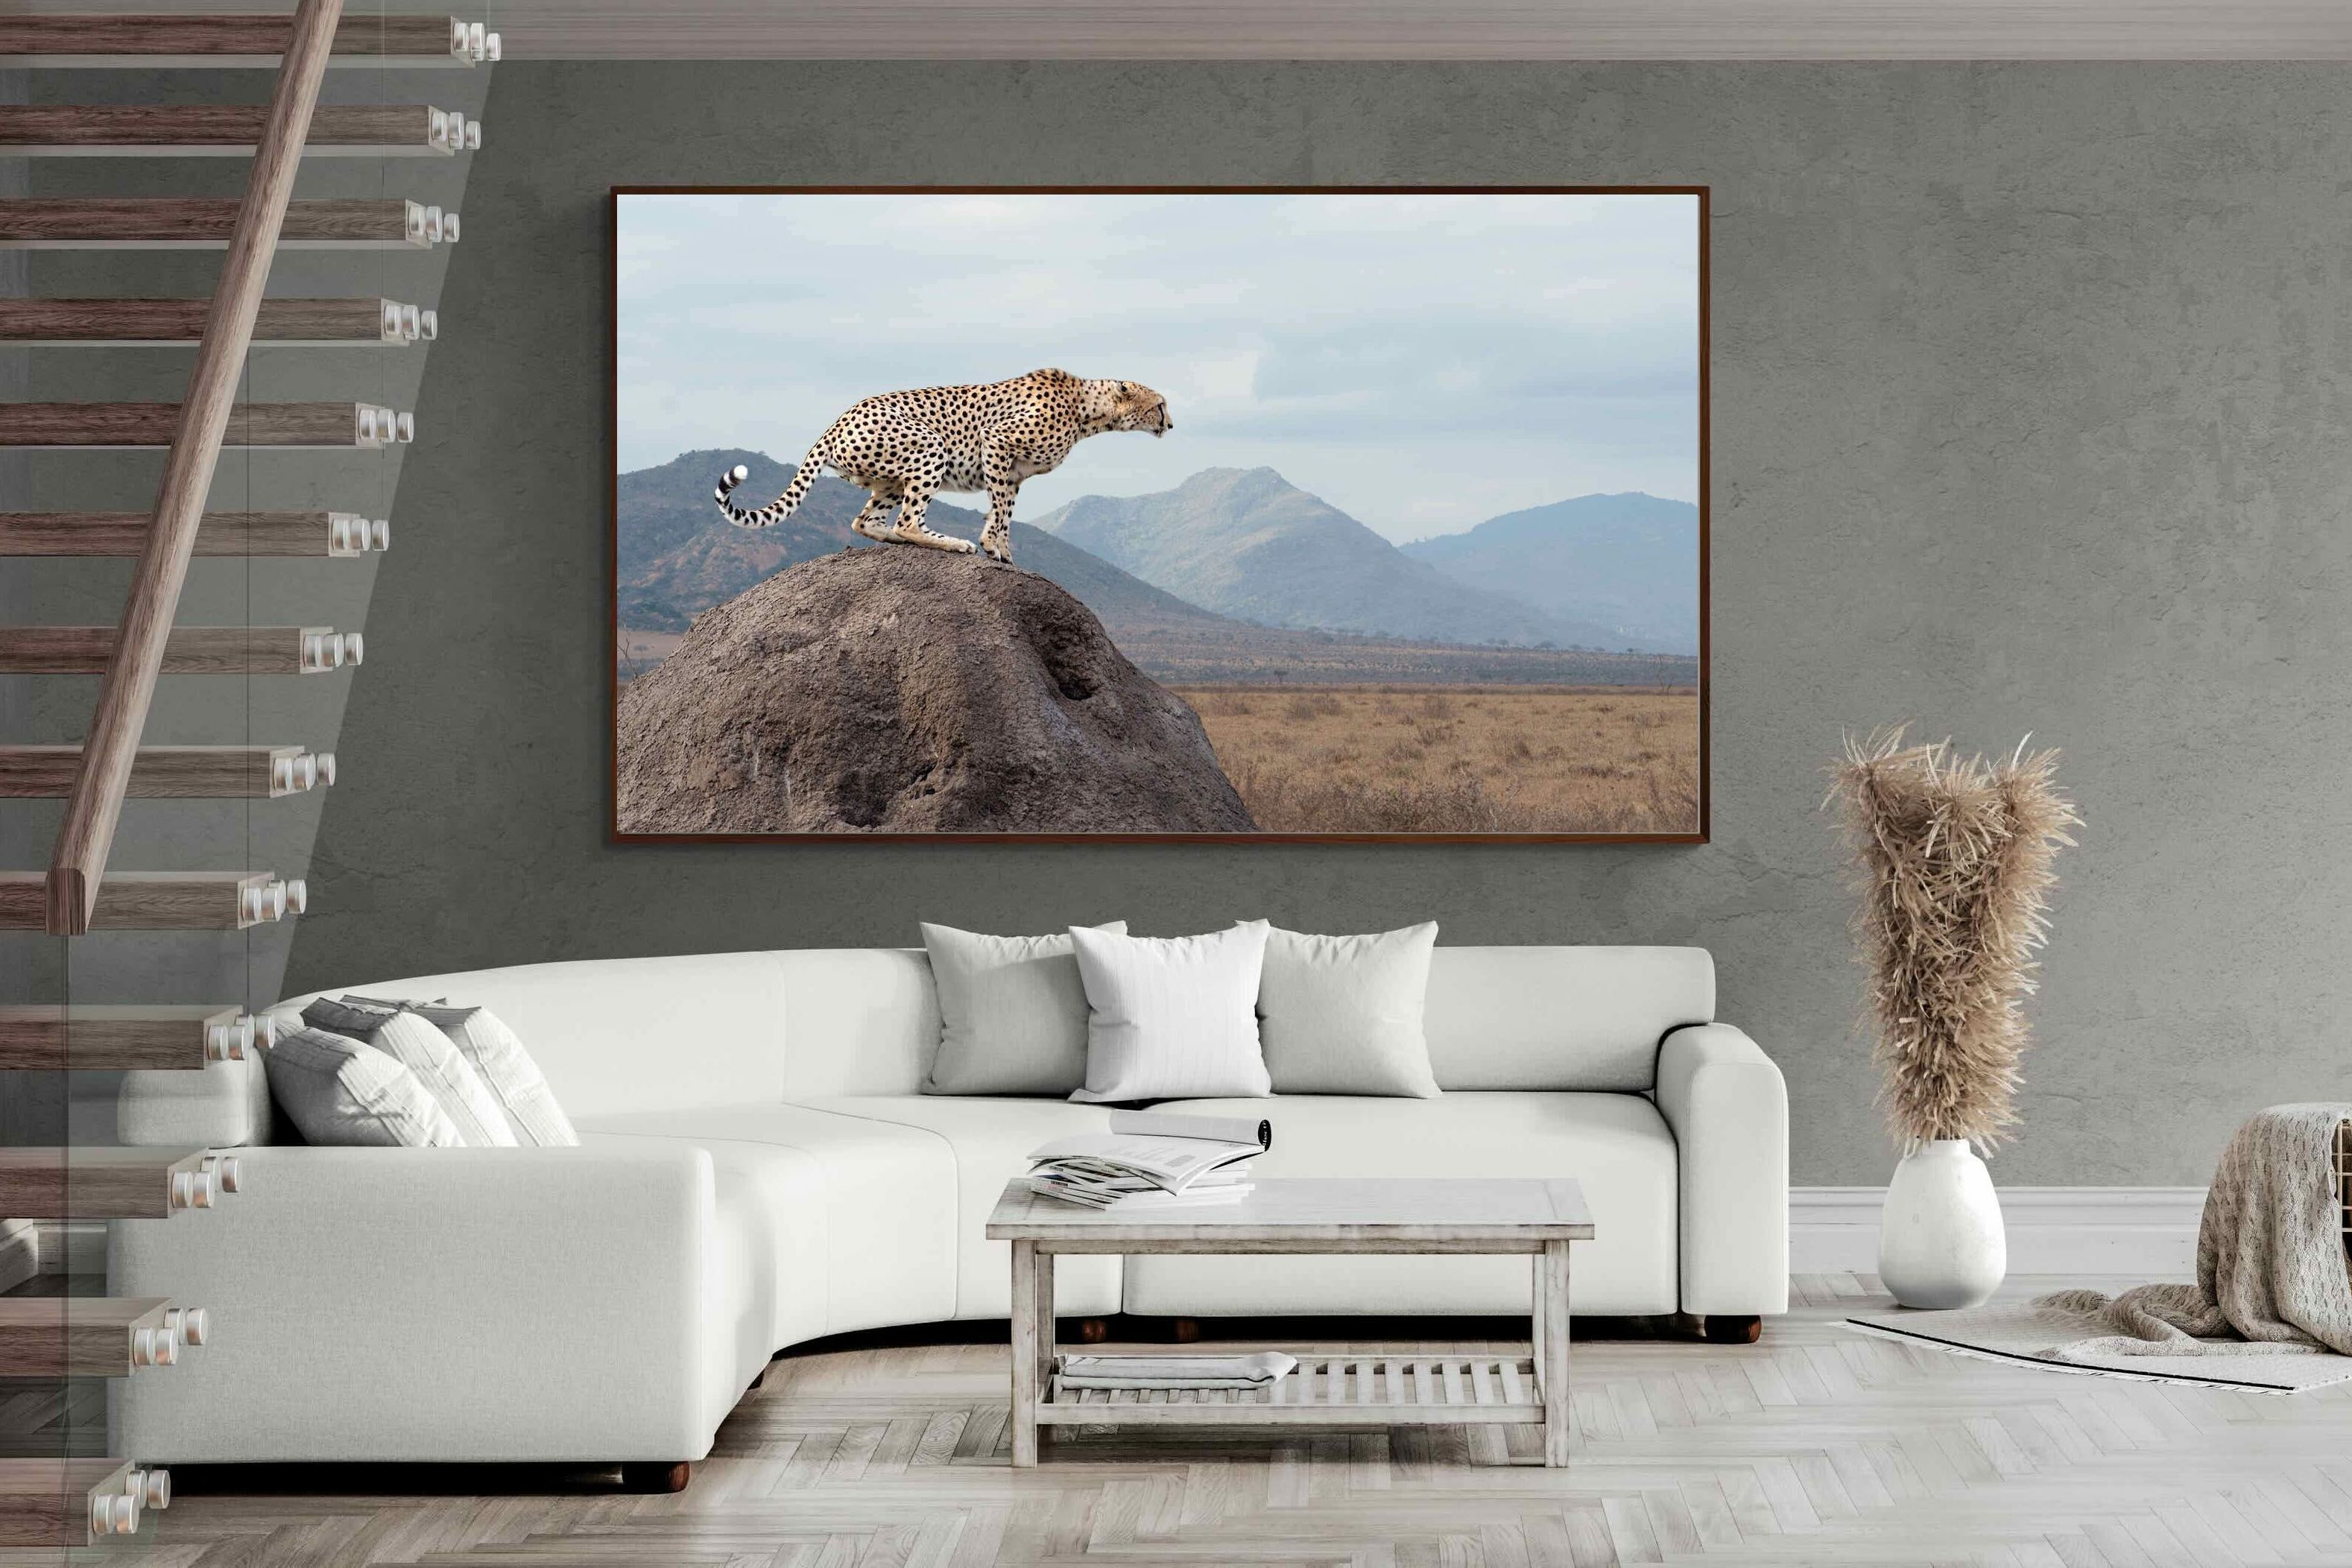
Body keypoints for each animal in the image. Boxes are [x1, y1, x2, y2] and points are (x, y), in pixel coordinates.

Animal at [714, 368, 1172, 564]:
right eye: (1161, 404)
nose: (1170, 424)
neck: (1087, 410)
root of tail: (838, 419)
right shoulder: (997, 443)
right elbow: (999, 511)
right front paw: (990, 545)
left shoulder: (1015, 473)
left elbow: (1006, 511)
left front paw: (1005, 551)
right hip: (930, 447)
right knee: (907, 521)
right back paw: (952, 543)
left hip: (889, 480)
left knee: (867, 521)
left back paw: (899, 541)